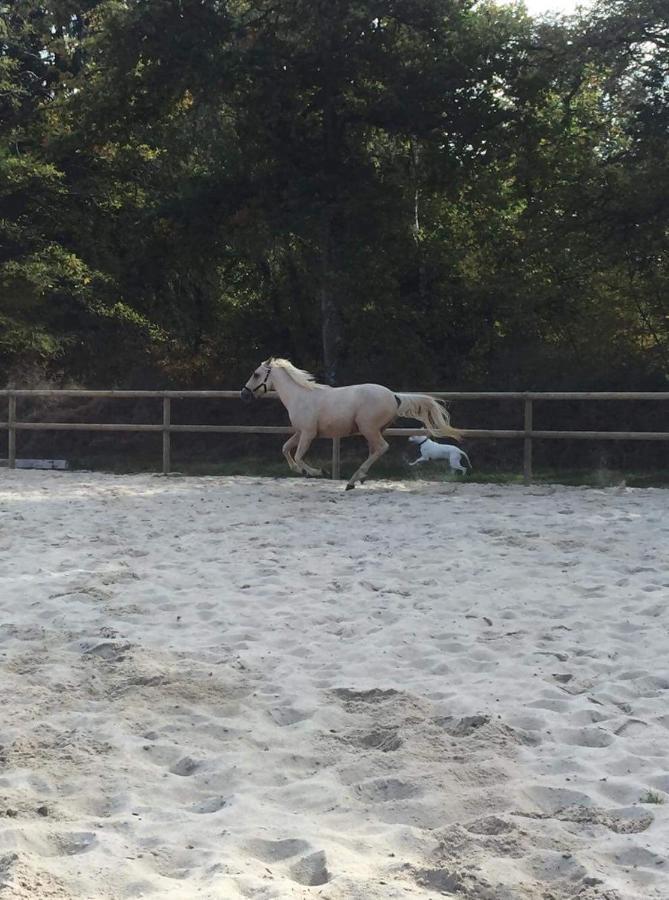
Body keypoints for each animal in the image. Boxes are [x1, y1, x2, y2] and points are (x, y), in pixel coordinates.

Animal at [240, 356, 460, 492]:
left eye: (256, 374)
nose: (244, 394)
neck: (300, 396)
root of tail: (393, 395)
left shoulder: (308, 433)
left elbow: (299, 456)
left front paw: (318, 472)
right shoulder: (300, 432)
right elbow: (286, 449)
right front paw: (300, 471)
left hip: (368, 428)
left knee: (382, 447)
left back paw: (353, 481)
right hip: (375, 430)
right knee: (375, 450)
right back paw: (359, 478)